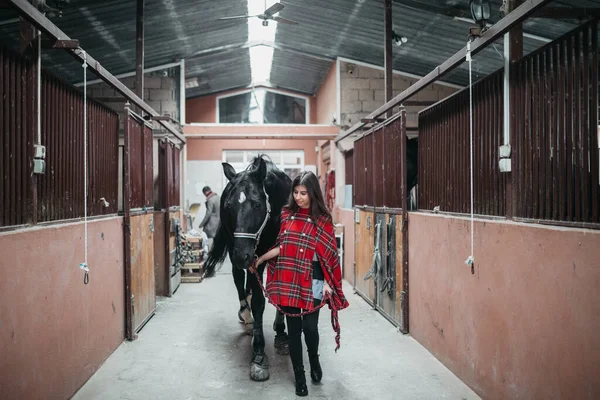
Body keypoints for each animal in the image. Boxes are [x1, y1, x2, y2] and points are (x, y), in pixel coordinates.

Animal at [202, 155, 292, 382]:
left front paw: (281, 334)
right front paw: (259, 356)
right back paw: (247, 315)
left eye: (258, 204)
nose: (241, 256)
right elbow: (259, 302)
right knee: (238, 278)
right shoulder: (253, 255)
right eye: (229, 206)